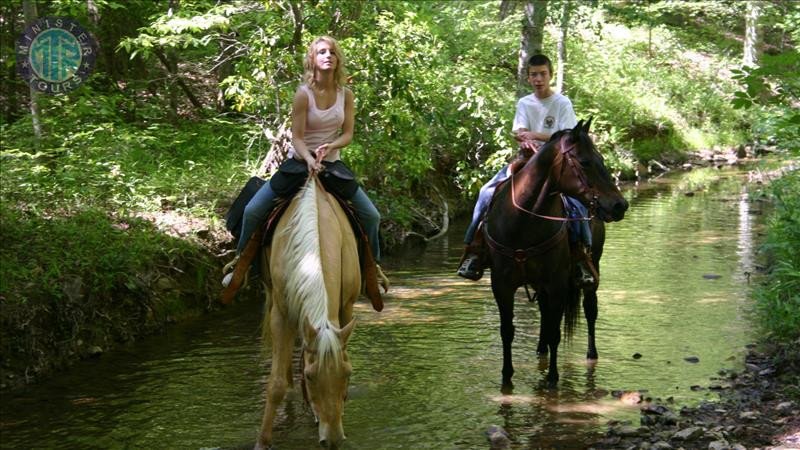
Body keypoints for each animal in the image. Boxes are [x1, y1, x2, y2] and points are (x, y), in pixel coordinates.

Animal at [256, 174, 360, 448]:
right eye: (312, 377)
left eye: (347, 374)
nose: (332, 440)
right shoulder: (280, 315)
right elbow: (276, 385)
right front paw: (262, 441)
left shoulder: (346, 308)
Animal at [484, 118, 628, 386]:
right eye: (585, 162)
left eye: (601, 159)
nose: (620, 205)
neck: (523, 222)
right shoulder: (502, 285)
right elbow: (507, 331)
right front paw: (506, 377)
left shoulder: (557, 283)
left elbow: (555, 331)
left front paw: (552, 378)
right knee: (543, 313)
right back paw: (540, 350)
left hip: (592, 266)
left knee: (590, 309)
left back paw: (591, 355)